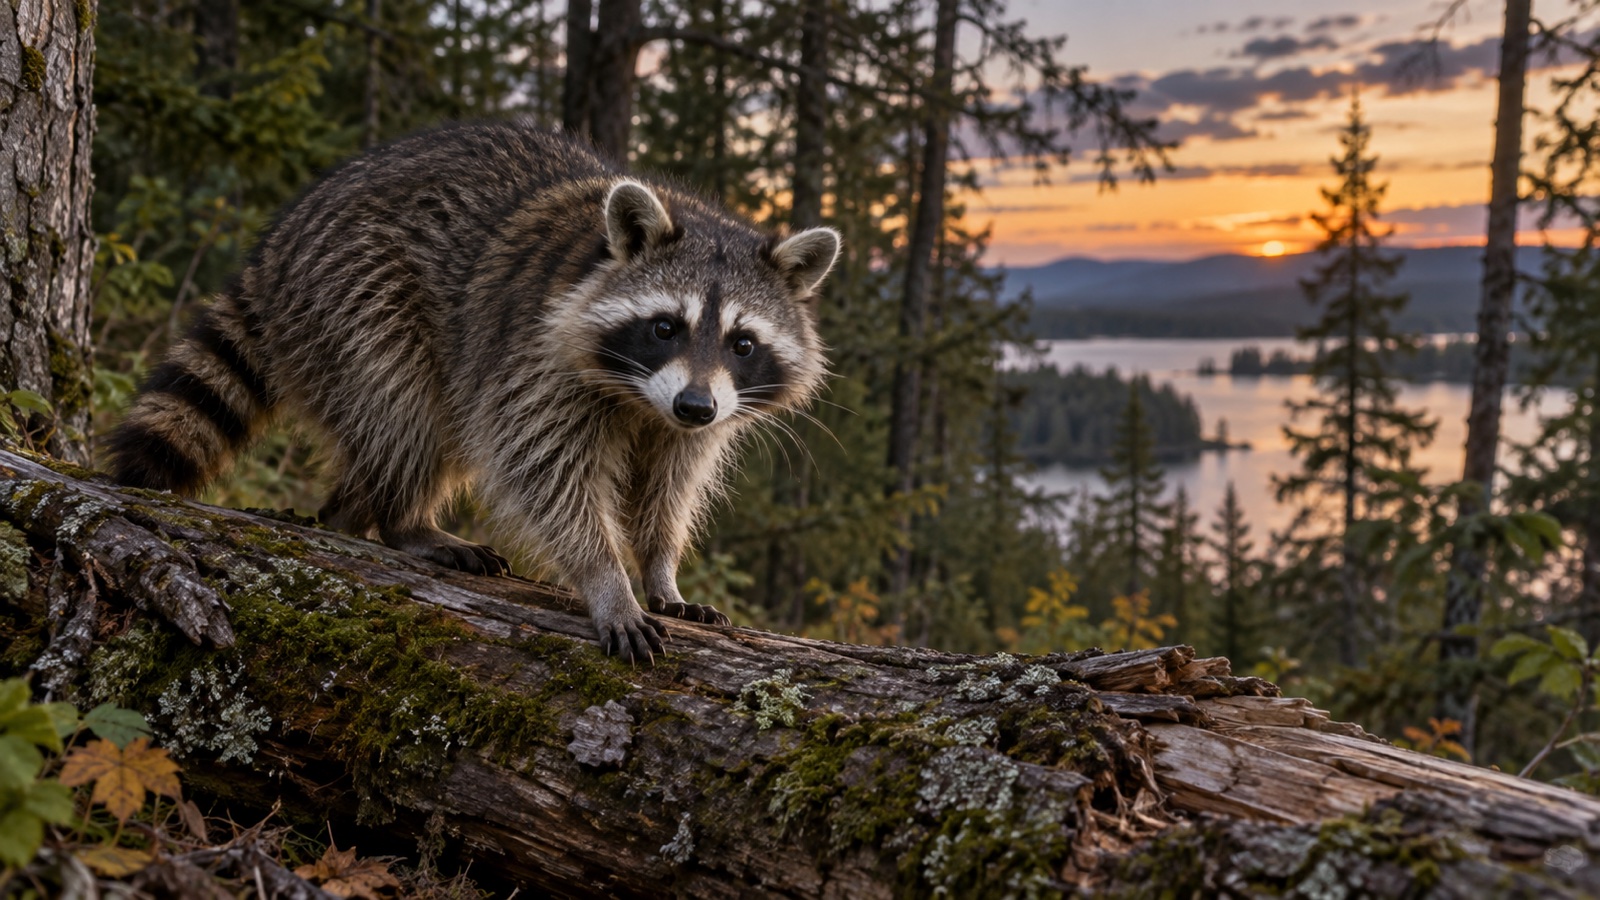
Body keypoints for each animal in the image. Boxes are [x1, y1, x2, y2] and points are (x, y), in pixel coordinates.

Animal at [108, 120, 839, 663]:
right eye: (666, 327)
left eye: (742, 343)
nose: (694, 406)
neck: (643, 397)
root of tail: (280, 241)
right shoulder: (535, 357)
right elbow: (545, 473)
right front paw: (606, 579)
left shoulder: (697, 414)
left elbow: (668, 485)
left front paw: (661, 567)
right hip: (354, 288)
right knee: (400, 404)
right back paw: (401, 519)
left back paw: (353, 513)